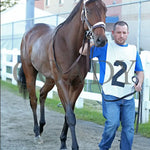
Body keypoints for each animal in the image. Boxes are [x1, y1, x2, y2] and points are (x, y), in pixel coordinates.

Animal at [17, 0, 106, 149]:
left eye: (105, 10)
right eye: (87, 10)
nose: (101, 40)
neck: (69, 46)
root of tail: (28, 32)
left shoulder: (78, 84)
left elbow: (68, 112)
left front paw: (63, 141)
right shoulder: (62, 83)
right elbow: (70, 115)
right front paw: (72, 146)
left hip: (50, 79)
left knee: (42, 94)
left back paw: (41, 126)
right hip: (30, 72)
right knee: (33, 100)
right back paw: (37, 133)